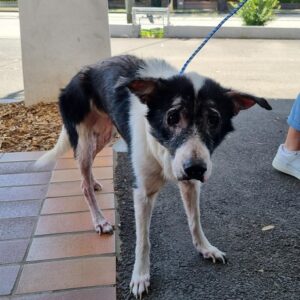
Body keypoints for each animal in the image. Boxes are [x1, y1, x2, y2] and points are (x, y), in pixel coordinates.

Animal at [36, 55, 274, 298]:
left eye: (214, 120)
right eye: (173, 116)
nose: (196, 169)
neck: (163, 149)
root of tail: (81, 72)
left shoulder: (190, 183)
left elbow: (195, 220)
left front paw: (205, 248)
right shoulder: (143, 193)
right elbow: (143, 240)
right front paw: (140, 276)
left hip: (104, 134)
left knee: (89, 168)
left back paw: (93, 183)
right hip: (84, 139)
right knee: (82, 179)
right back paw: (100, 219)